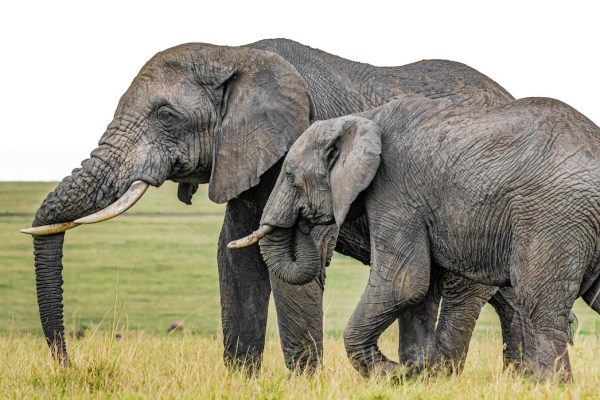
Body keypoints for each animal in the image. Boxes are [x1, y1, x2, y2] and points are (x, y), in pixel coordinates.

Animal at [23, 39, 520, 370]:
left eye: (165, 115)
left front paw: (304, 384)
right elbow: (234, 260)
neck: (233, 54)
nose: (70, 364)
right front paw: (242, 380)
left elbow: (293, 262)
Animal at [232, 95, 600, 380]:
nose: (307, 222)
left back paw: (550, 386)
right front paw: (417, 374)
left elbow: (404, 282)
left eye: (290, 176)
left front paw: (398, 374)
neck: (362, 119)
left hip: (553, 215)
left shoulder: (395, 189)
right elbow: (421, 290)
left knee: (539, 305)